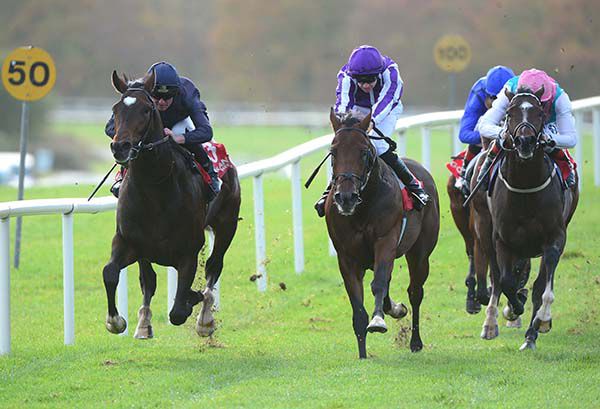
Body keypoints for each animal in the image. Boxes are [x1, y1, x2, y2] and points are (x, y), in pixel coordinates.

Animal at [102, 71, 240, 338]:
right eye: (115, 109)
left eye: (147, 110)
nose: (120, 146)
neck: (155, 187)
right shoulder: (126, 241)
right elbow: (110, 273)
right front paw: (116, 321)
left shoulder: (189, 251)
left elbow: (178, 310)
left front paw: (193, 300)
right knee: (148, 280)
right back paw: (144, 322)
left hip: (227, 225)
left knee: (214, 266)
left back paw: (205, 319)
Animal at [326, 108, 438, 356]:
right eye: (333, 152)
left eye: (364, 152)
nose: (345, 197)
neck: (362, 208)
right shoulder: (346, 257)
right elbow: (358, 308)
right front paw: (362, 355)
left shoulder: (385, 240)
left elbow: (379, 283)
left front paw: (378, 321)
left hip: (420, 253)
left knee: (415, 291)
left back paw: (415, 341)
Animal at [476, 87, 580, 350]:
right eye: (509, 113)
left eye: (539, 113)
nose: (525, 141)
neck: (525, 188)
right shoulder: (502, 239)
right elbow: (506, 280)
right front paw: (513, 309)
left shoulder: (555, 237)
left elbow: (542, 288)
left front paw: (541, 321)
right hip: (484, 228)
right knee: (497, 276)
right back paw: (490, 323)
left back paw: (532, 332)